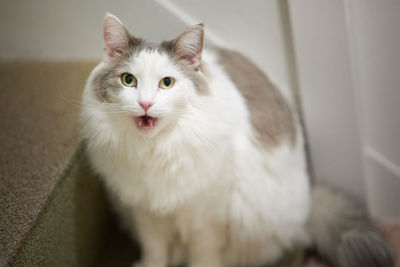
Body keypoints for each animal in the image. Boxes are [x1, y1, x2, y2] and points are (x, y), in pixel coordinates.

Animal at [81, 13, 394, 267]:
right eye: (128, 80)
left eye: (166, 83)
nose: (145, 104)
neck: (153, 150)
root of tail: (309, 195)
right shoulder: (145, 211)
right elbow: (155, 251)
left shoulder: (206, 215)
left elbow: (203, 255)